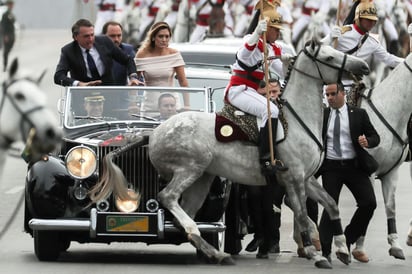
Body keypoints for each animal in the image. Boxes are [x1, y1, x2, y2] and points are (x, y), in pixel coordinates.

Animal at [93, 38, 370, 268]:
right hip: (190, 169)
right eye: (330, 57)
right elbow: (302, 215)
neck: (296, 120)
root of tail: (154, 132)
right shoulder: (292, 178)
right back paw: (208, 244)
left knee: (186, 212)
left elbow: (331, 205)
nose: (364, 66)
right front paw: (316, 254)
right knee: (168, 197)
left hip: (203, 179)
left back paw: (214, 252)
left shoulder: (307, 178)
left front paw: (341, 249)